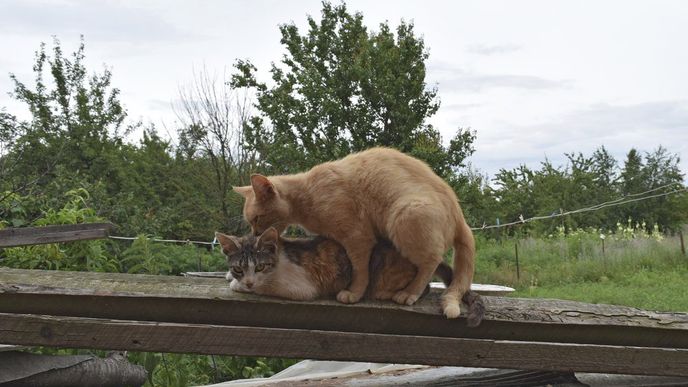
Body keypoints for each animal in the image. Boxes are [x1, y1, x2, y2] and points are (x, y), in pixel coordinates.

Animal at [234, 147, 476, 320]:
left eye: (256, 219)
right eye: (251, 222)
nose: (255, 233)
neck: (307, 196)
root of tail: (460, 215)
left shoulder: (358, 238)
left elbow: (360, 270)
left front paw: (354, 293)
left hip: (406, 214)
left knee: (431, 262)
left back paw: (409, 293)